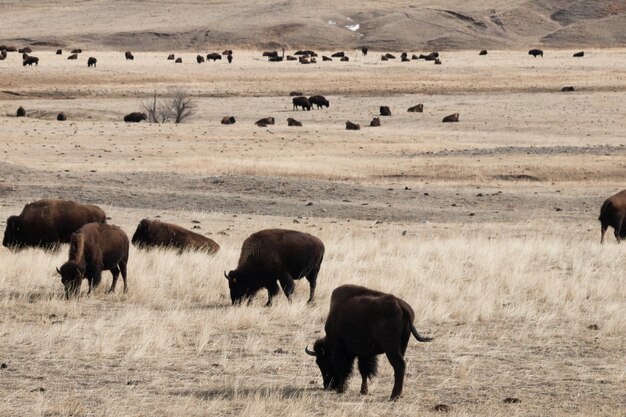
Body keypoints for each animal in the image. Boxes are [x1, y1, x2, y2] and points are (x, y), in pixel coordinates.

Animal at [304, 284, 432, 398]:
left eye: (321, 361)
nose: (328, 386)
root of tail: (401, 305)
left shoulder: (341, 350)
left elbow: (344, 368)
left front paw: (341, 389)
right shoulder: (365, 353)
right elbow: (364, 370)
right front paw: (363, 391)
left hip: (391, 349)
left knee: (399, 366)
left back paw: (394, 396)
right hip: (402, 346)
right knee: (400, 367)